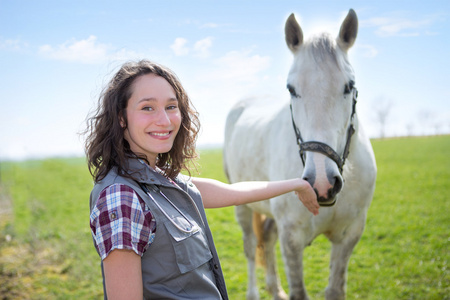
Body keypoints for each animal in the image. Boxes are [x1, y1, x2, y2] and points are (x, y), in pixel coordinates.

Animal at [224, 9, 376, 300]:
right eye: (291, 89)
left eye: (349, 86)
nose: (322, 183)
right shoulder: (291, 239)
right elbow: (298, 291)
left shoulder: (349, 236)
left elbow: (335, 289)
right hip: (242, 205)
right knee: (251, 246)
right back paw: (254, 292)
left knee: (266, 239)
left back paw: (275, 289)